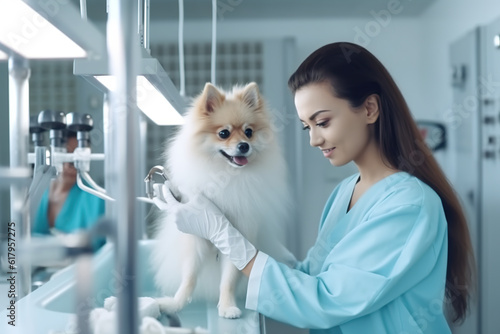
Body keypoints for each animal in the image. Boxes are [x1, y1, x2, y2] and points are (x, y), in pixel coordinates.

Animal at [150, 81, 294, 318]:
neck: (226, 176)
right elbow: (189, 276)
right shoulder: (195, 238)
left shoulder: (238, 234)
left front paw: (227, 306)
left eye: (249, 132)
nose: (244, 145)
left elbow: (229, 277)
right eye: (224, 133)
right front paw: (176, 304)